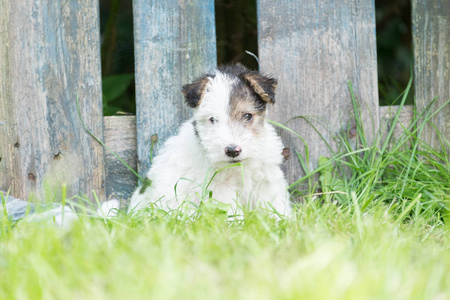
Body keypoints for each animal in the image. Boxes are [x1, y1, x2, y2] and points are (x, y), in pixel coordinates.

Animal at [129, 63, 292, 218]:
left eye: (247, 116)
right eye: (212, 119)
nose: (232, 150)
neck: (239, 166)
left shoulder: (266, 180)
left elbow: (275, 205)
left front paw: (282, 220)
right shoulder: (220, 188)